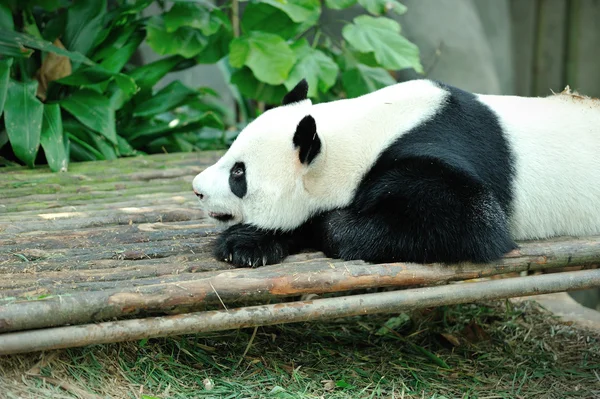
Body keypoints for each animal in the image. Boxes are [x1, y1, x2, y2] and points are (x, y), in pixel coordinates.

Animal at [191, 78, 600, 268]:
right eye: (229, 156)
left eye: (238, 174)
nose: (197, 189)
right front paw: (246, 244)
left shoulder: (431, 152)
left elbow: (473, 223)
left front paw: (328, 224)